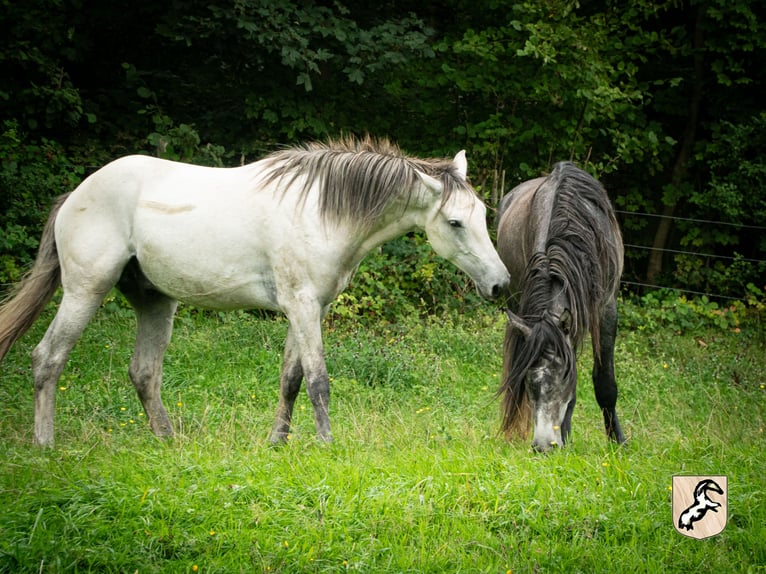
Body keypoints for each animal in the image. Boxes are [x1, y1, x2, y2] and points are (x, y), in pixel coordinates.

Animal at [1, 137, 516, 448]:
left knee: (144, 373)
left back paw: (167, 442)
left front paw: (278, 443)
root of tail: (76, 194)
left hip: (155, 302)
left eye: (481, 212)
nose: (500, 284)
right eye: (455, 222)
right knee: (48, 359)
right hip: (85, 292)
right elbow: (318, 380)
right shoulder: (303, 307)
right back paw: (45, 444)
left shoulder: (307, 308)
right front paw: (328, 445)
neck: (321, 210)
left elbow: (291, 379)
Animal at [498, 162, 632, 454]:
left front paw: (617, 441)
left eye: (562, 377)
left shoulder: (605, 310)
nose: (542, 446)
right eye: (528, 380)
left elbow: (605, 383)